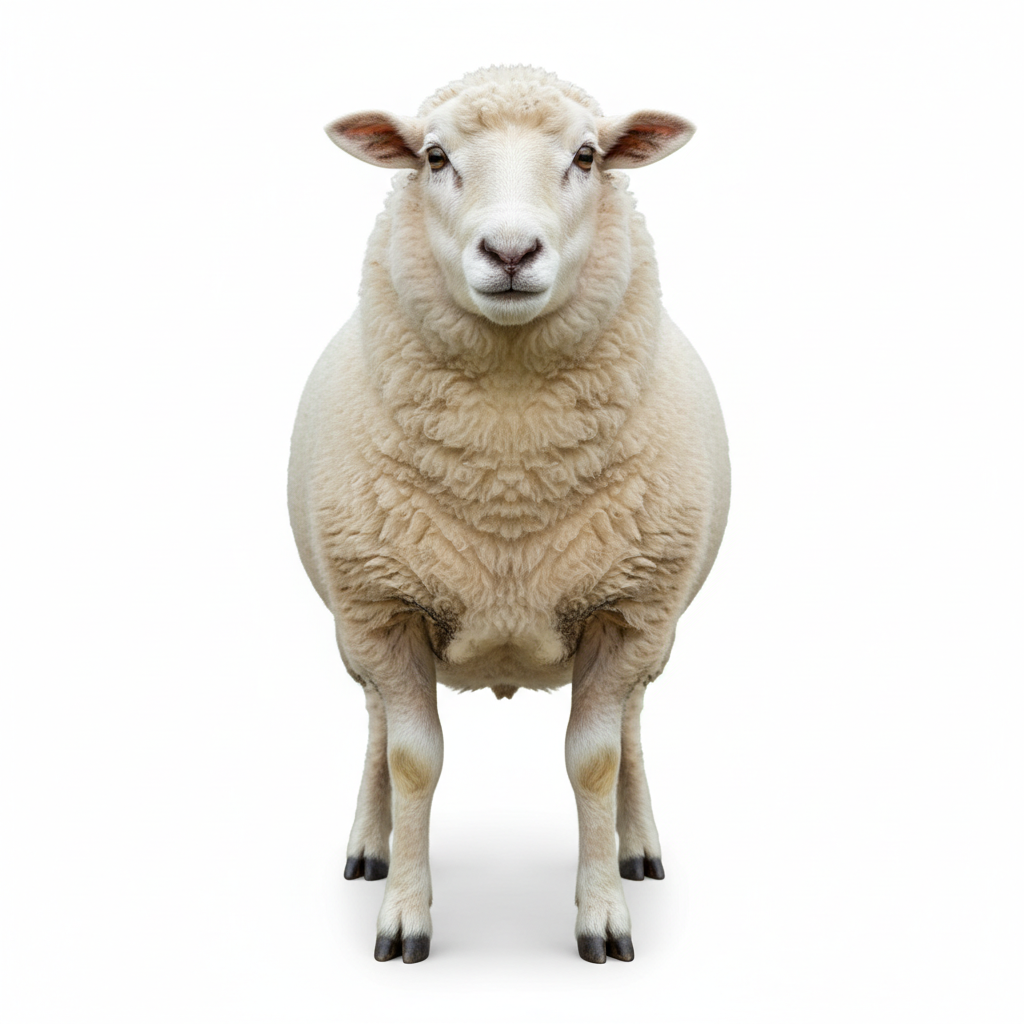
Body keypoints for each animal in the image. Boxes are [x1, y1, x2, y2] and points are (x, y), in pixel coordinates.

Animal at [288, 65, 730, 964]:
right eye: (434, 156)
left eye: (588, 156)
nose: (512, 253)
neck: (509, 466)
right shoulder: (384, 609)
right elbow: (410, 761)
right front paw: (404, 917)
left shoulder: (626, 613)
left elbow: (596, 761)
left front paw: (603, 917)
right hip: (355, 624)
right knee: (374, 725)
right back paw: (370, 844)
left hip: (656, 626)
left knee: (634, 728)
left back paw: (636, 846)